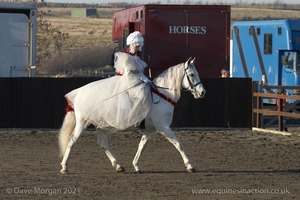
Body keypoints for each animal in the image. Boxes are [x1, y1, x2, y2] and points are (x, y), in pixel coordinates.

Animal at [57, 57, 205, 173]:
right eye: (192, 74)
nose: (202, 92)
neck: (163, 96)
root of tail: (78, 94)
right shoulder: (164, 128)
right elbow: (178, 144)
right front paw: (190, 166)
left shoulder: (149, 131)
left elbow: (141, 147)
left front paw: (136, 166)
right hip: (83, 123)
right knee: (71, 141)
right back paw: (64, 167)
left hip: (100, 125)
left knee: (103, 144)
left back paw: (118, 166)